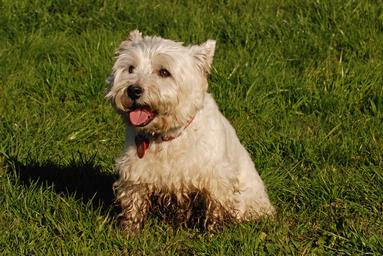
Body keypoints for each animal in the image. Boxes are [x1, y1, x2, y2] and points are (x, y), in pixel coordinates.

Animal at [106, 30, 274, 232]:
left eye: (164, 72)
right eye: (130, 68)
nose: (133, 90)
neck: (167, 138)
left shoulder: (216, 178)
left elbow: (217, 207)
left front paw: (215, 232)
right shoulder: (135, 173)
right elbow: (134, 203)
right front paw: (129, 230)